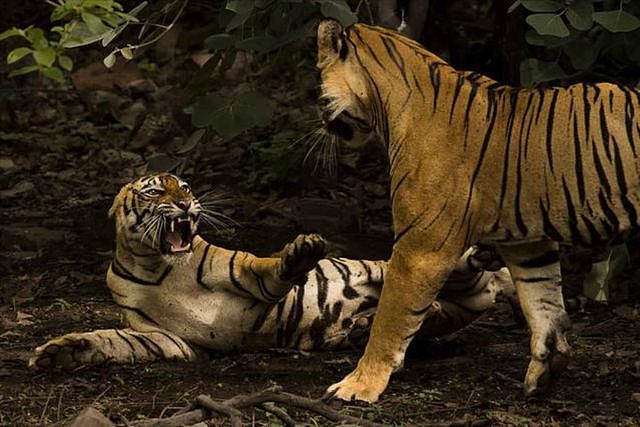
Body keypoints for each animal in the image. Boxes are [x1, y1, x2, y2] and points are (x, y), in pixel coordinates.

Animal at [29, 173, 515, 371]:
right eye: (155, 192)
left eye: (183, 186)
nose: (186, 203)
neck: (159, 266)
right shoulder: (168, 338)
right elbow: (113, 341)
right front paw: (61, 353)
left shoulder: (242, 274)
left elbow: (267, 268)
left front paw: (302, 251)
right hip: (447, 308)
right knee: (448, 303)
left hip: (399, 268)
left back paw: (484, 255)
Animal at [315, 19, 640, 402]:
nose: (320, 122)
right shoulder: (529, 243)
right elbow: (542, 301)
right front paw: (546, 370)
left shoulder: (421, 248)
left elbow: (390, 319)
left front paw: (358, 385)